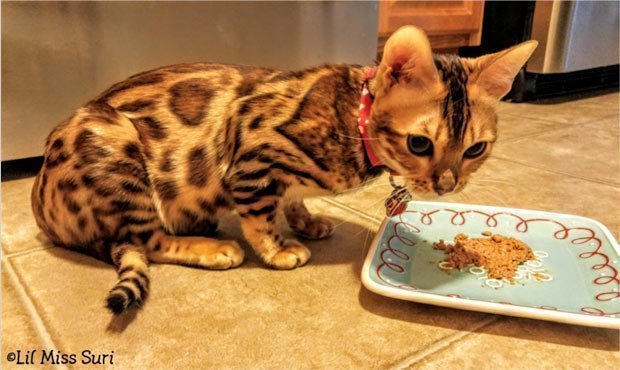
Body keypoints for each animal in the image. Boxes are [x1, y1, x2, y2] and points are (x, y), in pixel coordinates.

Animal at [29, 27, 536, 314]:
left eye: (476, 149)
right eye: (419, 144)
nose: (447, 185)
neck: (352, 118)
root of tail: (44, 215)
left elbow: (290, 199)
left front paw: (307, 220)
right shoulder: (252, 155)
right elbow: (259, 217)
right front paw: (277, 250)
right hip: (114, 141)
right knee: (149, 240)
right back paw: (212, 248)